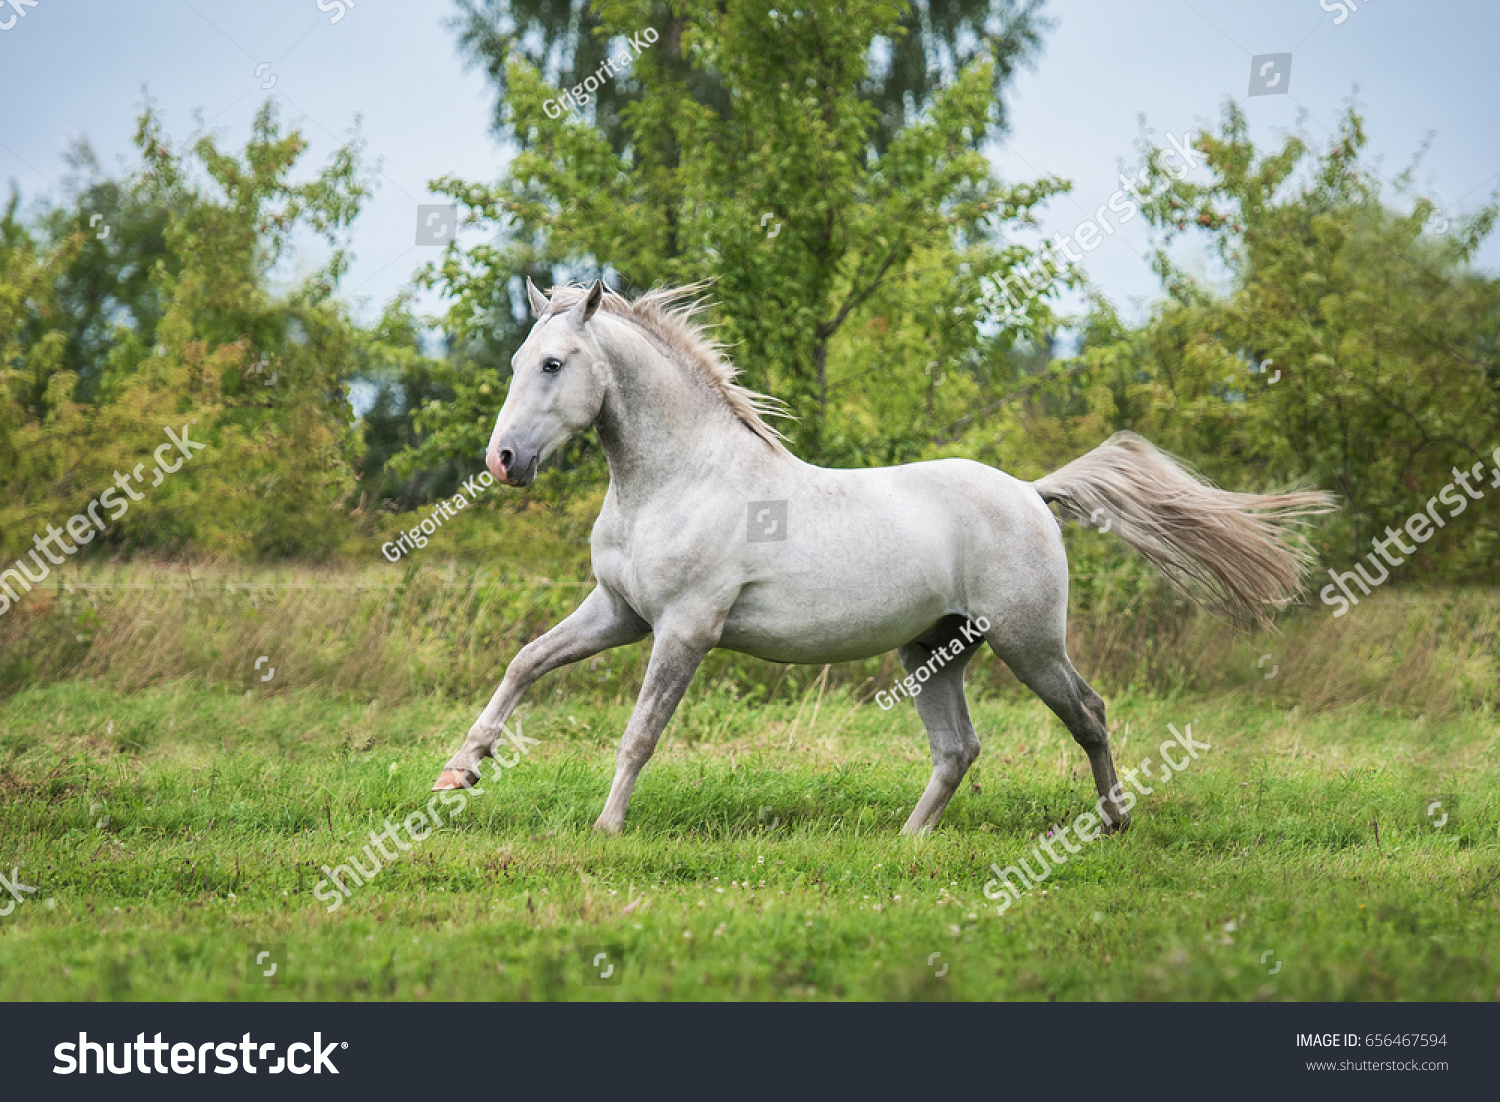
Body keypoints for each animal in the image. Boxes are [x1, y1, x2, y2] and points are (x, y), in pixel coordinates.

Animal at [435, 281, 1338, 833]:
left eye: (555, 363)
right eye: (516, 363)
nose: (503, 462)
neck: (678, 478)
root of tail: (1031, 492)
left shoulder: (684, 629)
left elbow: (639, 733)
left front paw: (607, 825)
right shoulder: (619, 613)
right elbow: (525, 662)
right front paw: (459, 772)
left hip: (1028, 641)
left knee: (1088, 712)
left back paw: (1114, 820)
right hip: (934, 651)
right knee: (958, 749)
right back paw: (906, 841)